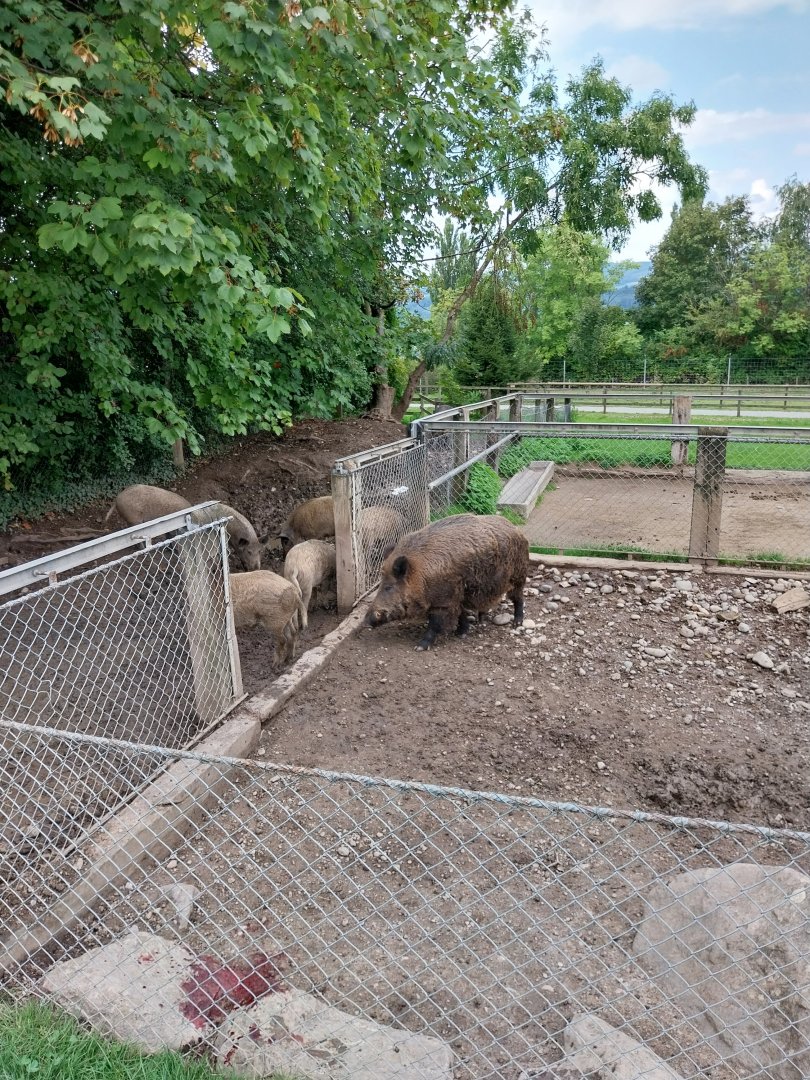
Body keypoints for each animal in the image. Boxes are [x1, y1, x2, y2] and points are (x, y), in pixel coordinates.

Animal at [365, 514, 528, 651]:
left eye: (389, 587)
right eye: (380, 583)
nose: (367, 619)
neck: (420, 575)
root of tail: (516, 529)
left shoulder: (444, 601)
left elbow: (435, 624)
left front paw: (420, 647)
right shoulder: (457, 597)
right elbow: (461, 615)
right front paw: (461, 634)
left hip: (518, 575)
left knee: (518, 598)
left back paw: (517, 623)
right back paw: (480, 621)